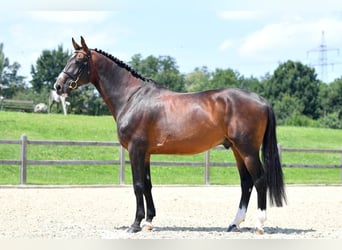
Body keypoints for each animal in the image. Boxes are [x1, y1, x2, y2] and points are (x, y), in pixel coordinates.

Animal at [54, 37, 286, 234]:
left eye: (79, 60)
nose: (58, 85)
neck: (132, 97)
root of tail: (261, 100)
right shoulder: (145, 153)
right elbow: (147, 184)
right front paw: (148, 222)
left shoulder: (135, 150)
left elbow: (138, 185)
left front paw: (135, 224)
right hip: (237, 150)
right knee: (246, 183)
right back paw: (234, 223)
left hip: (248, 150)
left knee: (259, 180)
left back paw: (259, 225)